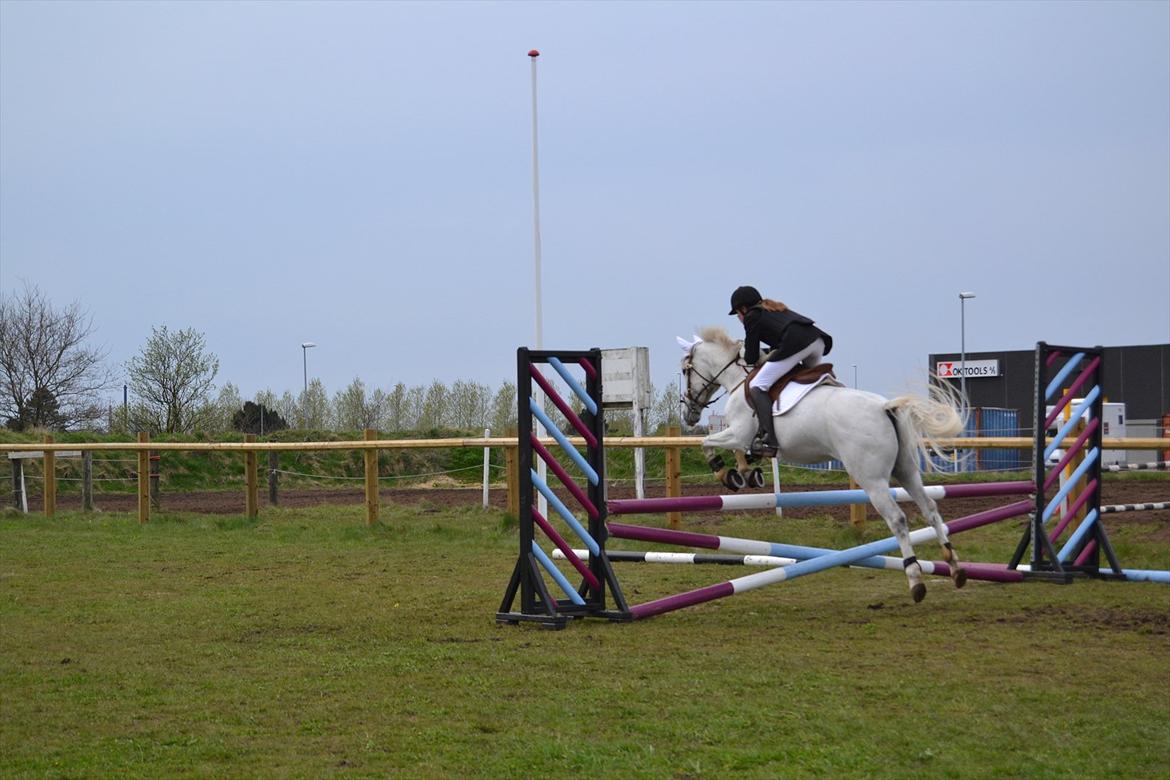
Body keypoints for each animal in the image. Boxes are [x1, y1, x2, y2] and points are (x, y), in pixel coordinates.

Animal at [678, 327, 968, 603]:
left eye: (684, 370)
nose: (688, 414)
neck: (740, 379)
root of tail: (884, 407)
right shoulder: (742, 437)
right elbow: (739, 452)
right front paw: (746, 473)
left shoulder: (738, 433)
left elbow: (707, 443)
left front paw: (725, 473)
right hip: (906, 470)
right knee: (930, 508)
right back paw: (954, 567)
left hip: (871, 479)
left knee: (897, 519)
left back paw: (915, 578)